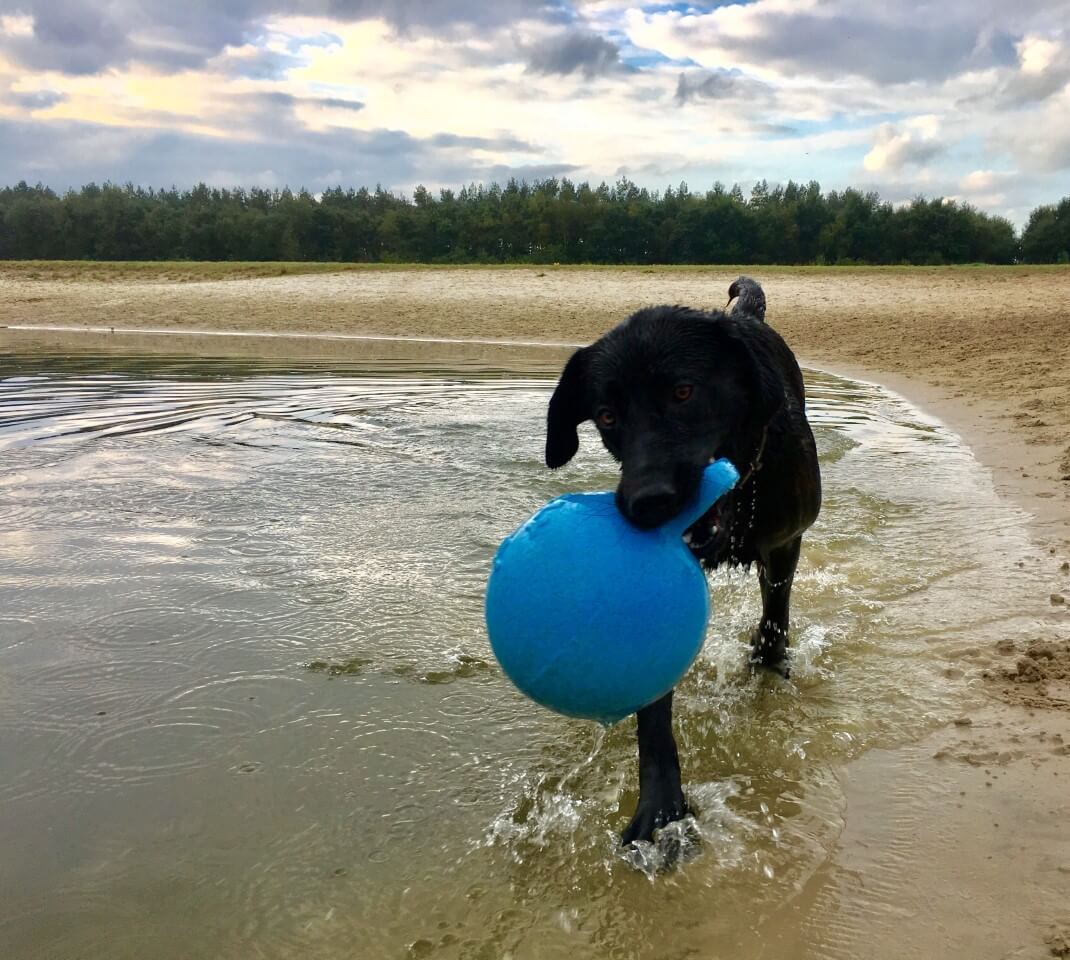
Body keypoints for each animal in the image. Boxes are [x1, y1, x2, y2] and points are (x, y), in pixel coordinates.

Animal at [543, 278, 817, 847]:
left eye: (683, 393)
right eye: (607, 416)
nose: (646, 502)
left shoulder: (786, 543)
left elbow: (774, 621)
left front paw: (769, 663)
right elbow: (654, 710)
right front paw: (661, 807)